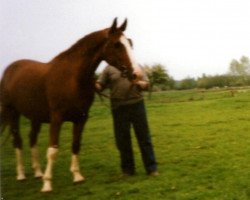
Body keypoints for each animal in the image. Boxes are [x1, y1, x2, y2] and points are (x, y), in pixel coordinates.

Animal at [0, 18, 139, 192]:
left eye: (129, 42)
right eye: (116, 44)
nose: (135, 74)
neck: (72, 79)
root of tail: (10, 69)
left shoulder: (81, 118)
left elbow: (75, 145)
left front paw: (77, 176)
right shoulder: (56, 119)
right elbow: (52, 150)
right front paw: (47, 184)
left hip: (35, 117)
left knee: (32, 138)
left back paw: (38, 172)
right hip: (12, 113)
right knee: (17, 140)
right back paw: (21, 175)